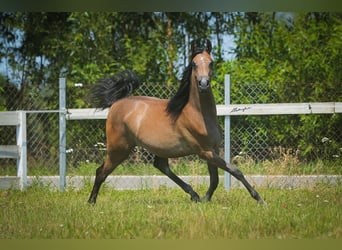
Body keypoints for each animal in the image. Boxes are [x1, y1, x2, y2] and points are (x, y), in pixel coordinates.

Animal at [88, 38, 264, 204]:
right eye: (194, 64)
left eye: (211, 62)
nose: (203, 84)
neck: (198, 115)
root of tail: (116, 104)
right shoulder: (205, 151)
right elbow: (235, 171)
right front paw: (259, 199)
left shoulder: (213, 149)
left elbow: (215, 179)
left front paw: (205, 199)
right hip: (119, 149)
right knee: (101, 172)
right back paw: (91, 202)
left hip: (159, 149)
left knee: (161, 166)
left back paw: (194, 195)